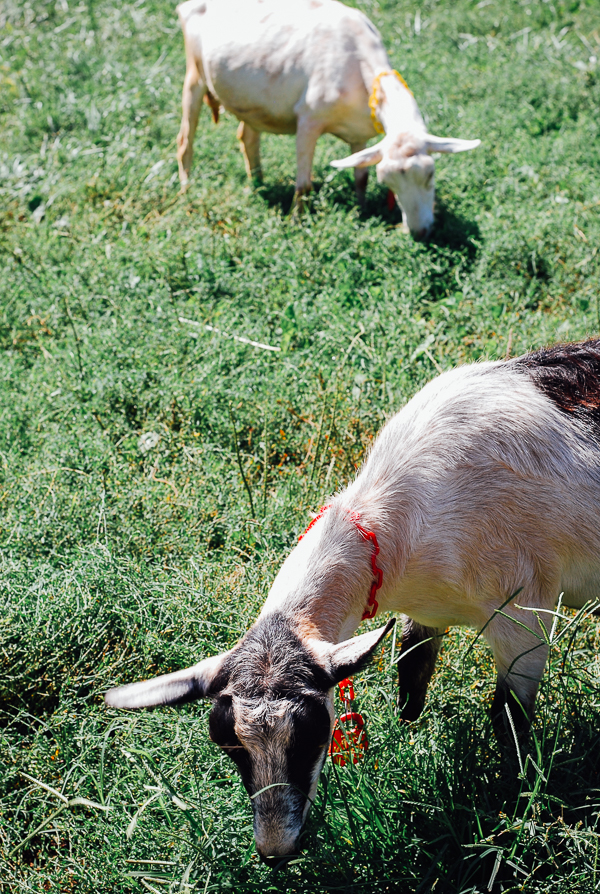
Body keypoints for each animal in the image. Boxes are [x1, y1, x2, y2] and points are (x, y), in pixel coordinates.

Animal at [105, 340, 600, 864]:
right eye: (230, 746)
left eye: (312, 736)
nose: (276, 851)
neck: (397, 523)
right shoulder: (424, 610)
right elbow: (411, 674)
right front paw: (408, 741)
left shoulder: (522, 617)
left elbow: (509, 718)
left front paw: (515, 797)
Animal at [173, 0, 478, 238]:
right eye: (388, 183)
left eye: (430, 174)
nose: (420, 232)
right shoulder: (308, 120)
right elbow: (304, 184)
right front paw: (298, 221)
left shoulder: (360, 134)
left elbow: (360, 177)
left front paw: (362, 212)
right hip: (193, 74)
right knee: (185, 141)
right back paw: (186, 193)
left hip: (248, 98)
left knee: (247, 137)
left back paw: (258, 183)